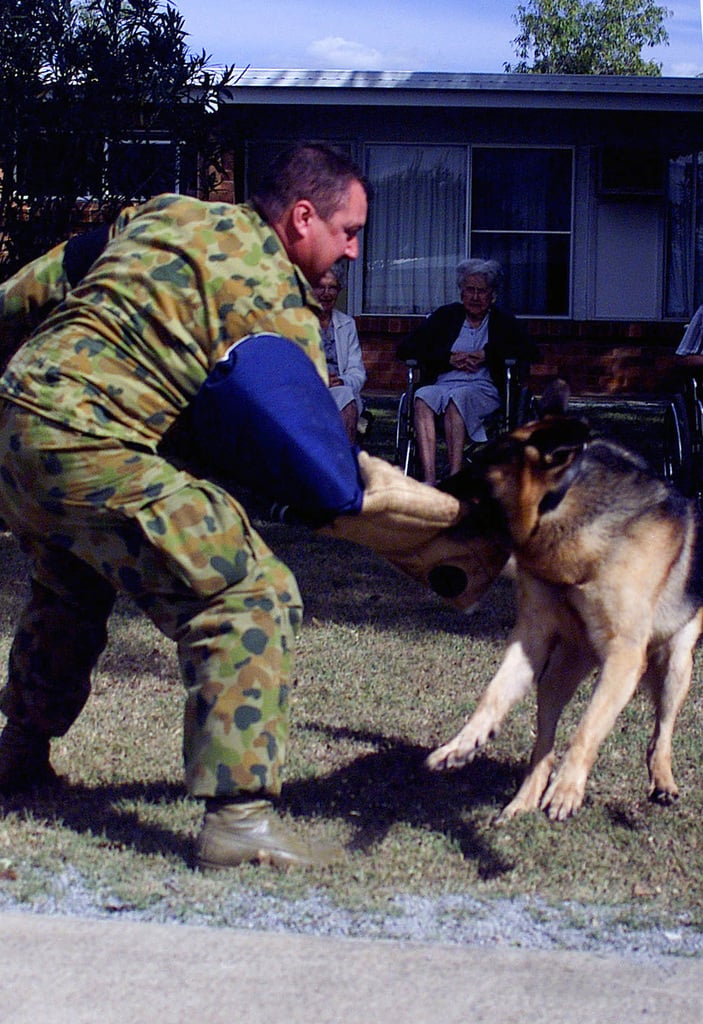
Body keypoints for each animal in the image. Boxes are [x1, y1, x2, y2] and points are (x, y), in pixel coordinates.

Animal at [425, 415, 703, 823]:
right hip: (558, 676)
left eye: (480, 461)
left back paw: (663, 780)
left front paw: (567, 789)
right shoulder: (532, 637)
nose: (433, 486)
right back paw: (524, 798)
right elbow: (493, 695)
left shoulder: (624, 657)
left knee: (661, 732)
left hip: (676, 666)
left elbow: (587, 728)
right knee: (544, 745)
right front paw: (462, 743)